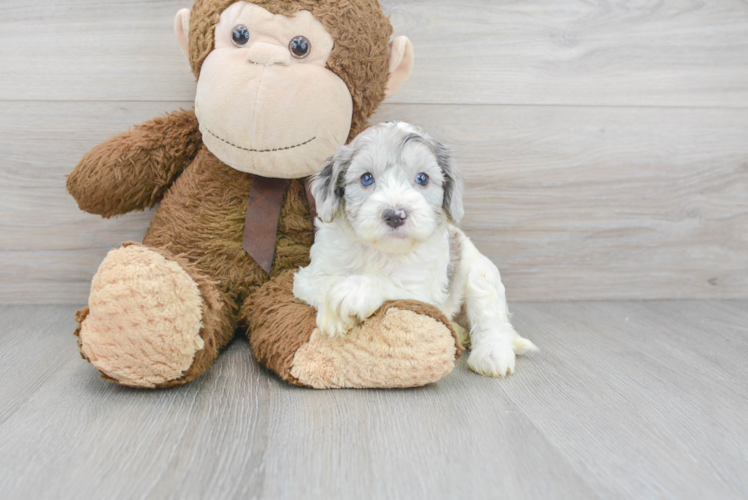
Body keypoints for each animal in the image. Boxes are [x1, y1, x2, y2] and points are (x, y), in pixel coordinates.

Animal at [294, 123, 536, 376]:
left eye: (422, 178)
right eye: (366, 178)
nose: (394, 215)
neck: (379, 251)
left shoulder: (420, 291)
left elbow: (388, 282)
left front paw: (353, 292)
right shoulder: (307, 277)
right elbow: (326, 282)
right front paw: (336, 316)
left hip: (480, 275)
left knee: (490, 318)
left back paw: (492, 354)